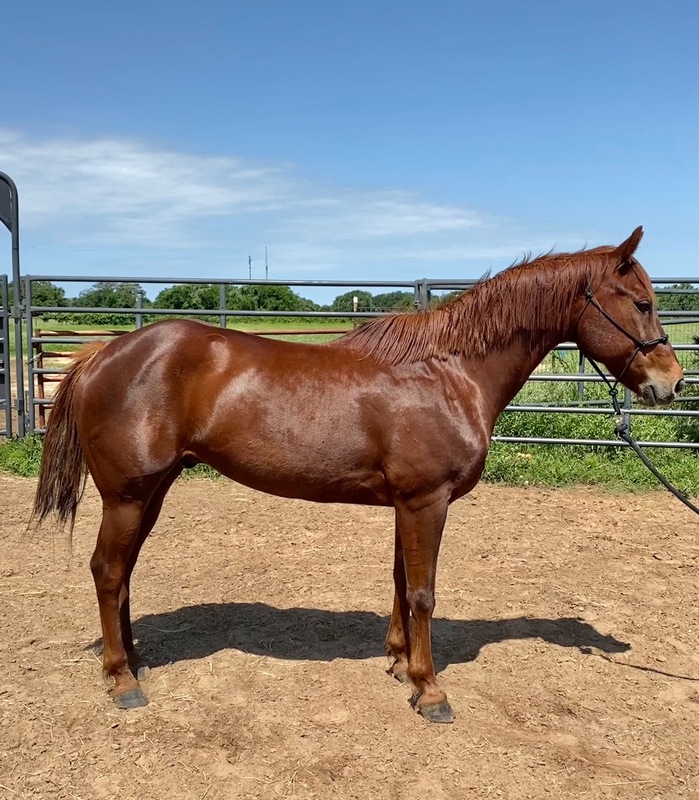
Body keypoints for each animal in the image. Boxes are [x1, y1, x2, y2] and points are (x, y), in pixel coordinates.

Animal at [32, 227, 684, 724]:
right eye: (641, 302)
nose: (672, 384)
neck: (449, 373)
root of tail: (102, 354)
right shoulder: (426, 501)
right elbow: (422, 592)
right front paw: (430, 690)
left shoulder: (409, 503)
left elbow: (400, 582)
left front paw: (399, 664)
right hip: (127, 495)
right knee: (107, 572)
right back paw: (123, 680)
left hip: (152, 493)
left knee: (122, 576)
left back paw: (133, 660)